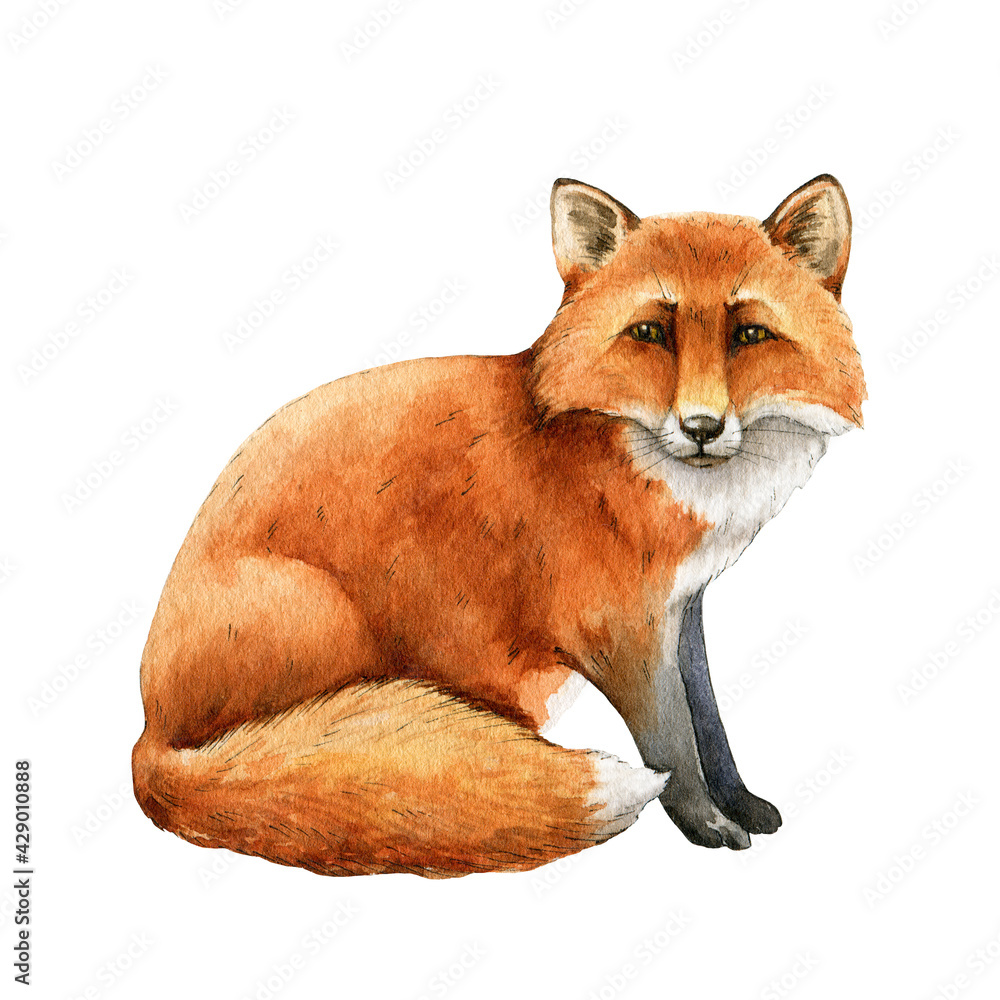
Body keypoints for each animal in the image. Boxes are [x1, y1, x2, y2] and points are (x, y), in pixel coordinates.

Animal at [132, 174, 865, 878]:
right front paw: (704, 824)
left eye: (750, 335)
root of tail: (148, 735)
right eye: (650, 333)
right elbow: (673, 739)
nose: (703, 428)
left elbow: (709, 719)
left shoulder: (681, 607)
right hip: (322, 614)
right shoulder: (615, 625)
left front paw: (741, 801)